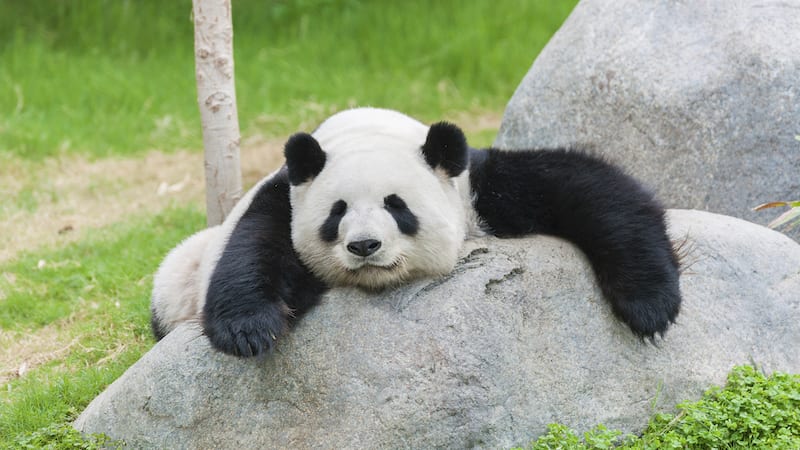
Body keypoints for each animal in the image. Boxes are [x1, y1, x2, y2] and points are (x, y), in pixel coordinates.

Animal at [152, 107, 680, 356]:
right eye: (337, 213)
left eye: (397, 205)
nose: (365, 245)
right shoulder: (284, 195)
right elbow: (254, 246)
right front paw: (249, 329)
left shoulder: (476, 187)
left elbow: (588, 189)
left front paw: (649, 305)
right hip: (177, 279)